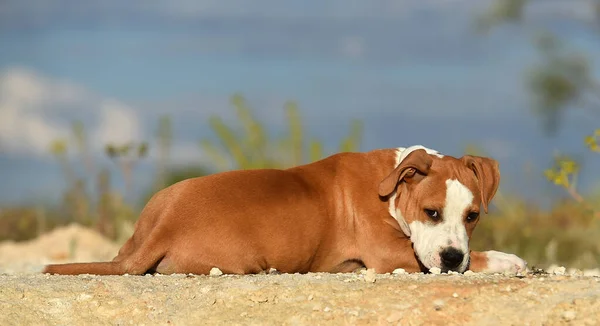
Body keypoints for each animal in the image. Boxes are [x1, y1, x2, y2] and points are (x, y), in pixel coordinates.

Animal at [43, 145, 524, 276]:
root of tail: (164, 227)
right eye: (431, 212)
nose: (452, 258)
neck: (391, 188)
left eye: (473, 216)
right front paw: (505, 259)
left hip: (156, 206)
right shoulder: (389, 254)